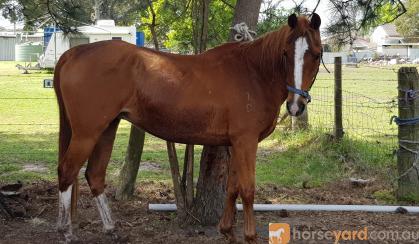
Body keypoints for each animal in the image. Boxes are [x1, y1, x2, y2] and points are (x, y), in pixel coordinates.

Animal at [55, 13, 322, 244]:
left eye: (317, 54)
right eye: (286, 53)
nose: (296, 105)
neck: (254, 72)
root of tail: (74, 53)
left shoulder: (235, 143)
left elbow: (232, 187)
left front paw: (227, 231)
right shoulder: (246, 141)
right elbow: (247, 189)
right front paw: (250, 236)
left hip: (107, 128)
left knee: (94, 175)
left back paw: (110, 229)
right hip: (87, 133)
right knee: (67, 171)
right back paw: (66, 231)